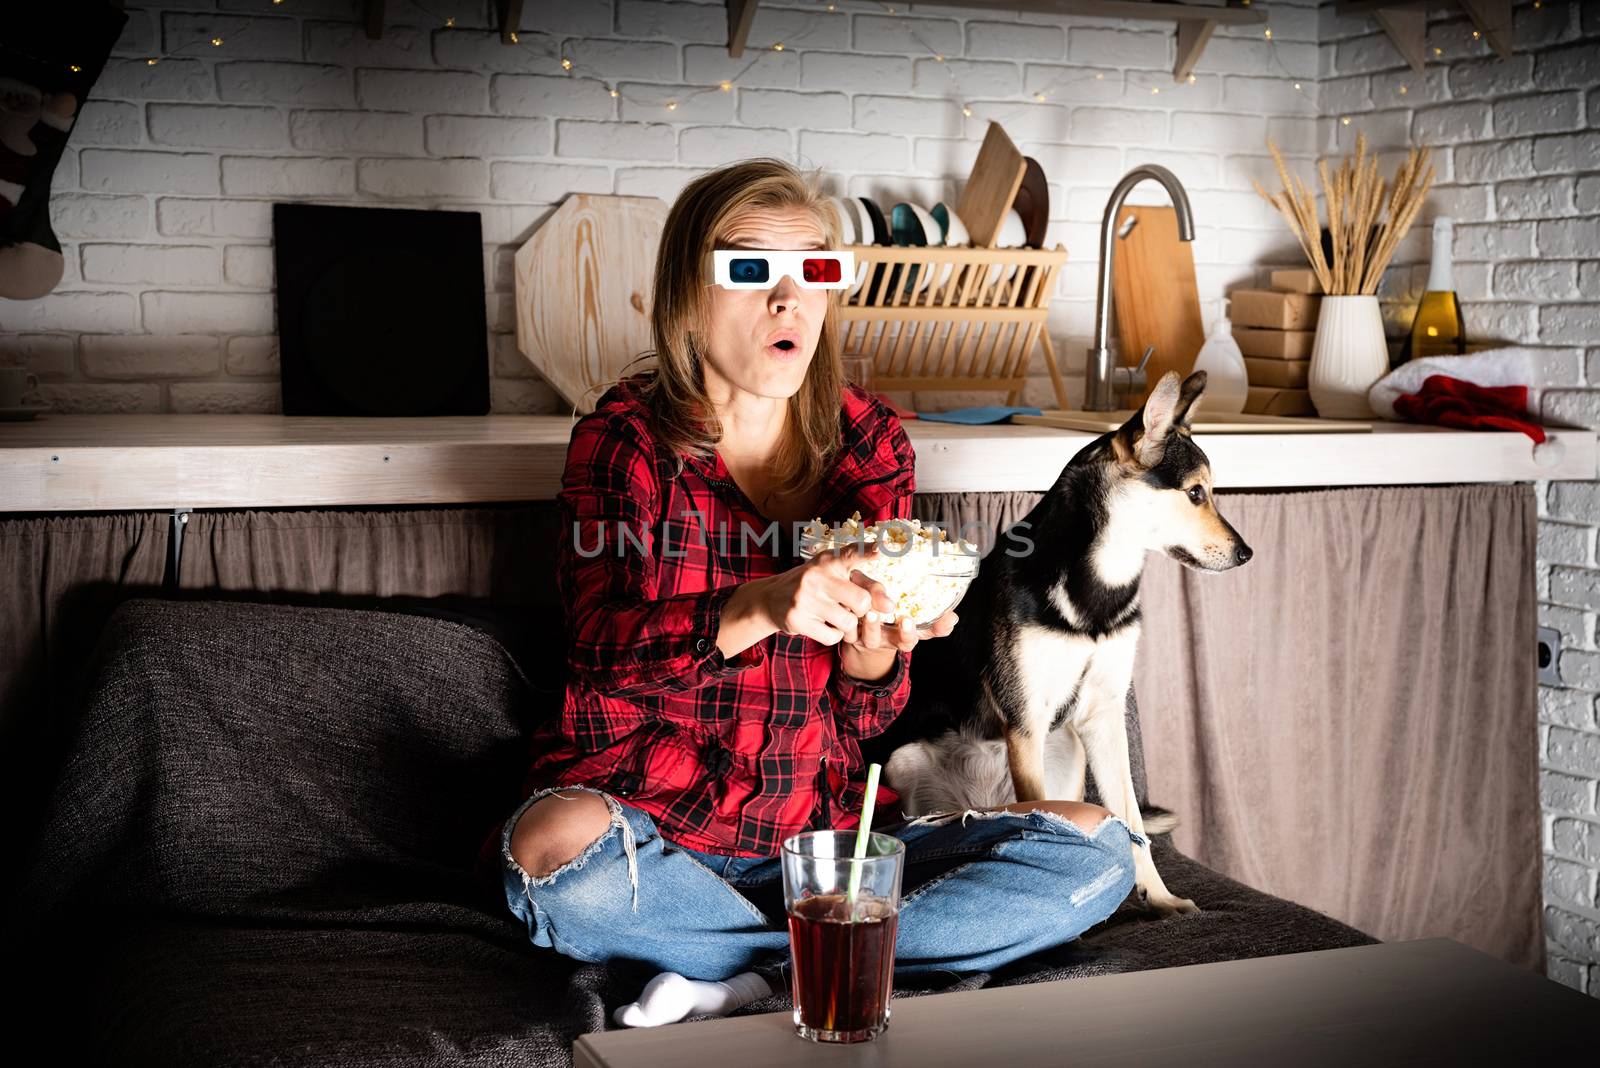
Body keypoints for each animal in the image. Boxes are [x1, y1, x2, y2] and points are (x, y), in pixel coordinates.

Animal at [864, 369, 1248, 920]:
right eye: (1196, 493)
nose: (1247, 553)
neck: (1099, 590)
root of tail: (981, 805)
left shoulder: (1104, 718)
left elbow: (1133, 825)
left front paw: (1159, 897)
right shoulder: (1025, 719)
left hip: (1069, 747)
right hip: (907, 762)